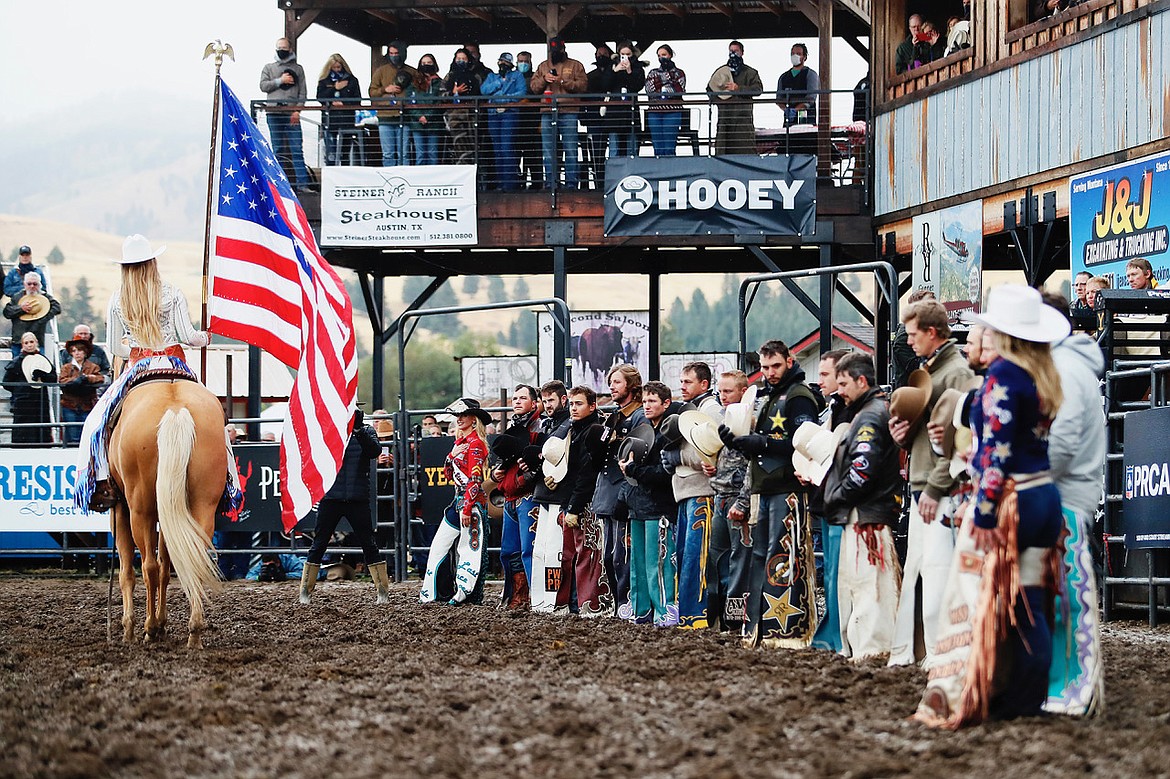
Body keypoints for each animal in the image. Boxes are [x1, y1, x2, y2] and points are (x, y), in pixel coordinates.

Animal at [109, 378, 228, 645]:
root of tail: (175, 410)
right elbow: (167, 565)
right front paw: (163, 623)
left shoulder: (120, 508)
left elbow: (127, 572)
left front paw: (130, 629)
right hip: (200, 504)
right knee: (191, 560)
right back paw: (194, 632)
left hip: (140, 510)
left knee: (148, 566)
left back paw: (150, 627)